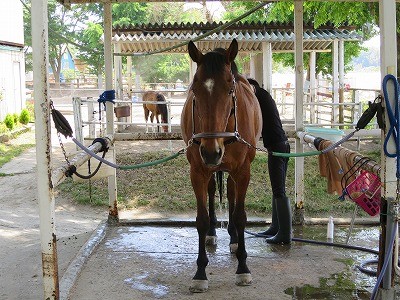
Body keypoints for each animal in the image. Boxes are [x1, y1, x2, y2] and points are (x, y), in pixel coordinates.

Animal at [180, 38, 262, 292]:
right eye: (194, 90)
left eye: (230, 90)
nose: (210, 151)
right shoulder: (197, 171)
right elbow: (201, 219)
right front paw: (200, 272)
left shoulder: (243, 171)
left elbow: (241, 216)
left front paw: (243, 268)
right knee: (213, 191)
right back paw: (213, 233)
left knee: (232, 193)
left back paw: (235, 239)